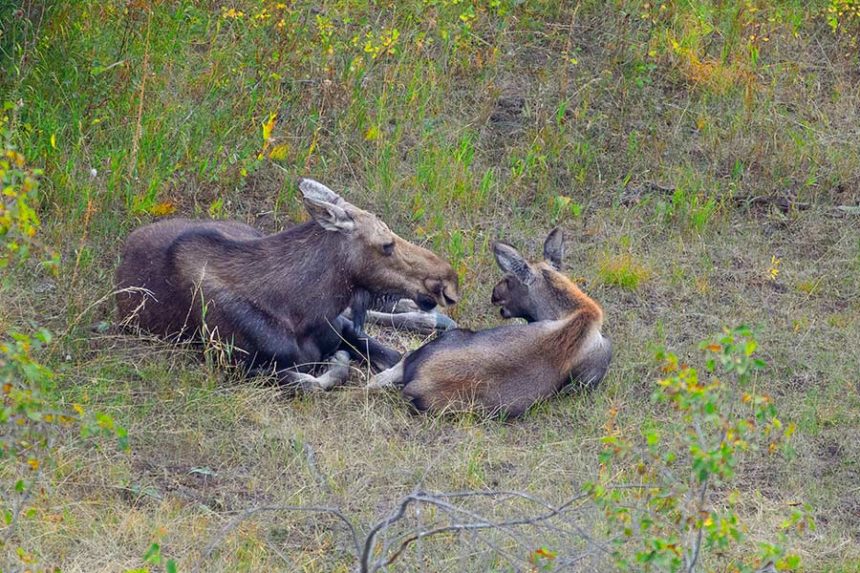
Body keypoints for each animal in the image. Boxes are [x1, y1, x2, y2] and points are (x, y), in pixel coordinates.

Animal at [115, 178, 459, 391]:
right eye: (387, 245)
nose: (448, 280)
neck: (301, 311)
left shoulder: (340, 327)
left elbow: (392, 355)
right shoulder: (238, 366)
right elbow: (311, 381)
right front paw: (337, 363)